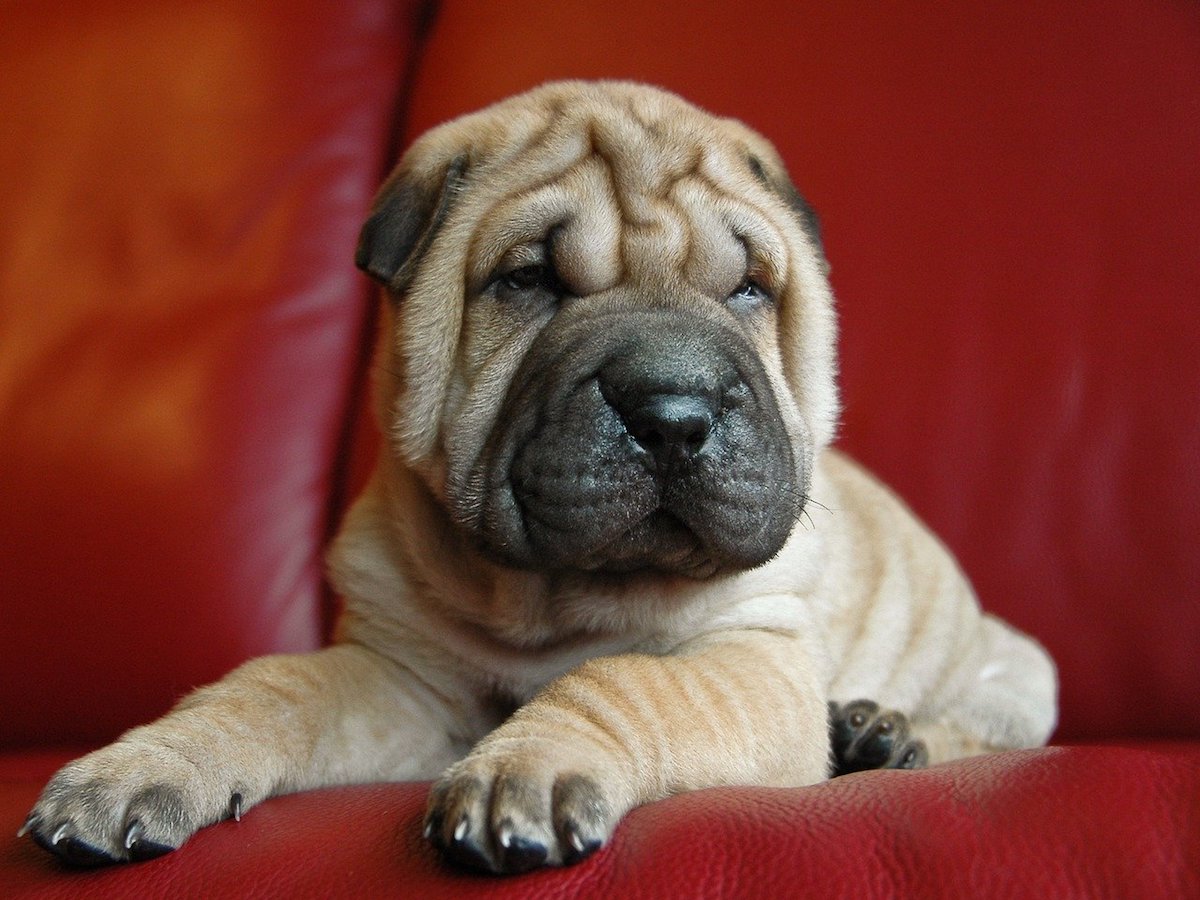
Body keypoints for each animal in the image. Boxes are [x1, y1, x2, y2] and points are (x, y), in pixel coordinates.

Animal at [18, 82, 1056, 873]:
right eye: (529, 281)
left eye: (749, 290)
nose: (673, 410)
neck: (553, 600)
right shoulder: (397, 677)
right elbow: (274, 686)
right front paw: (142, 764)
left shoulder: (750, 657)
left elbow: (630, 680)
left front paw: (533, 767)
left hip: (1014, 666)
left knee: (984, 731)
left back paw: (888, 734)